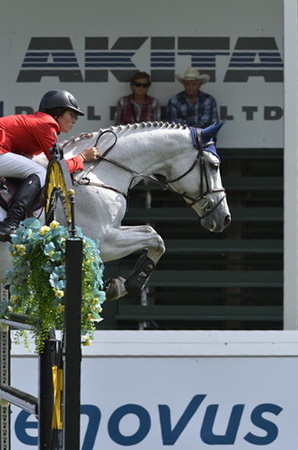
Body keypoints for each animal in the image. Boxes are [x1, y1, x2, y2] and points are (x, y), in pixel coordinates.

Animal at [0, 121, 230, 300]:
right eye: (214, 166)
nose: (225, 218)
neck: (99, 172)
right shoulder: (102, 242)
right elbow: (156, 239)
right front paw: (129, 285)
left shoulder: (114, 230)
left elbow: (152, 234)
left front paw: (119, 285)